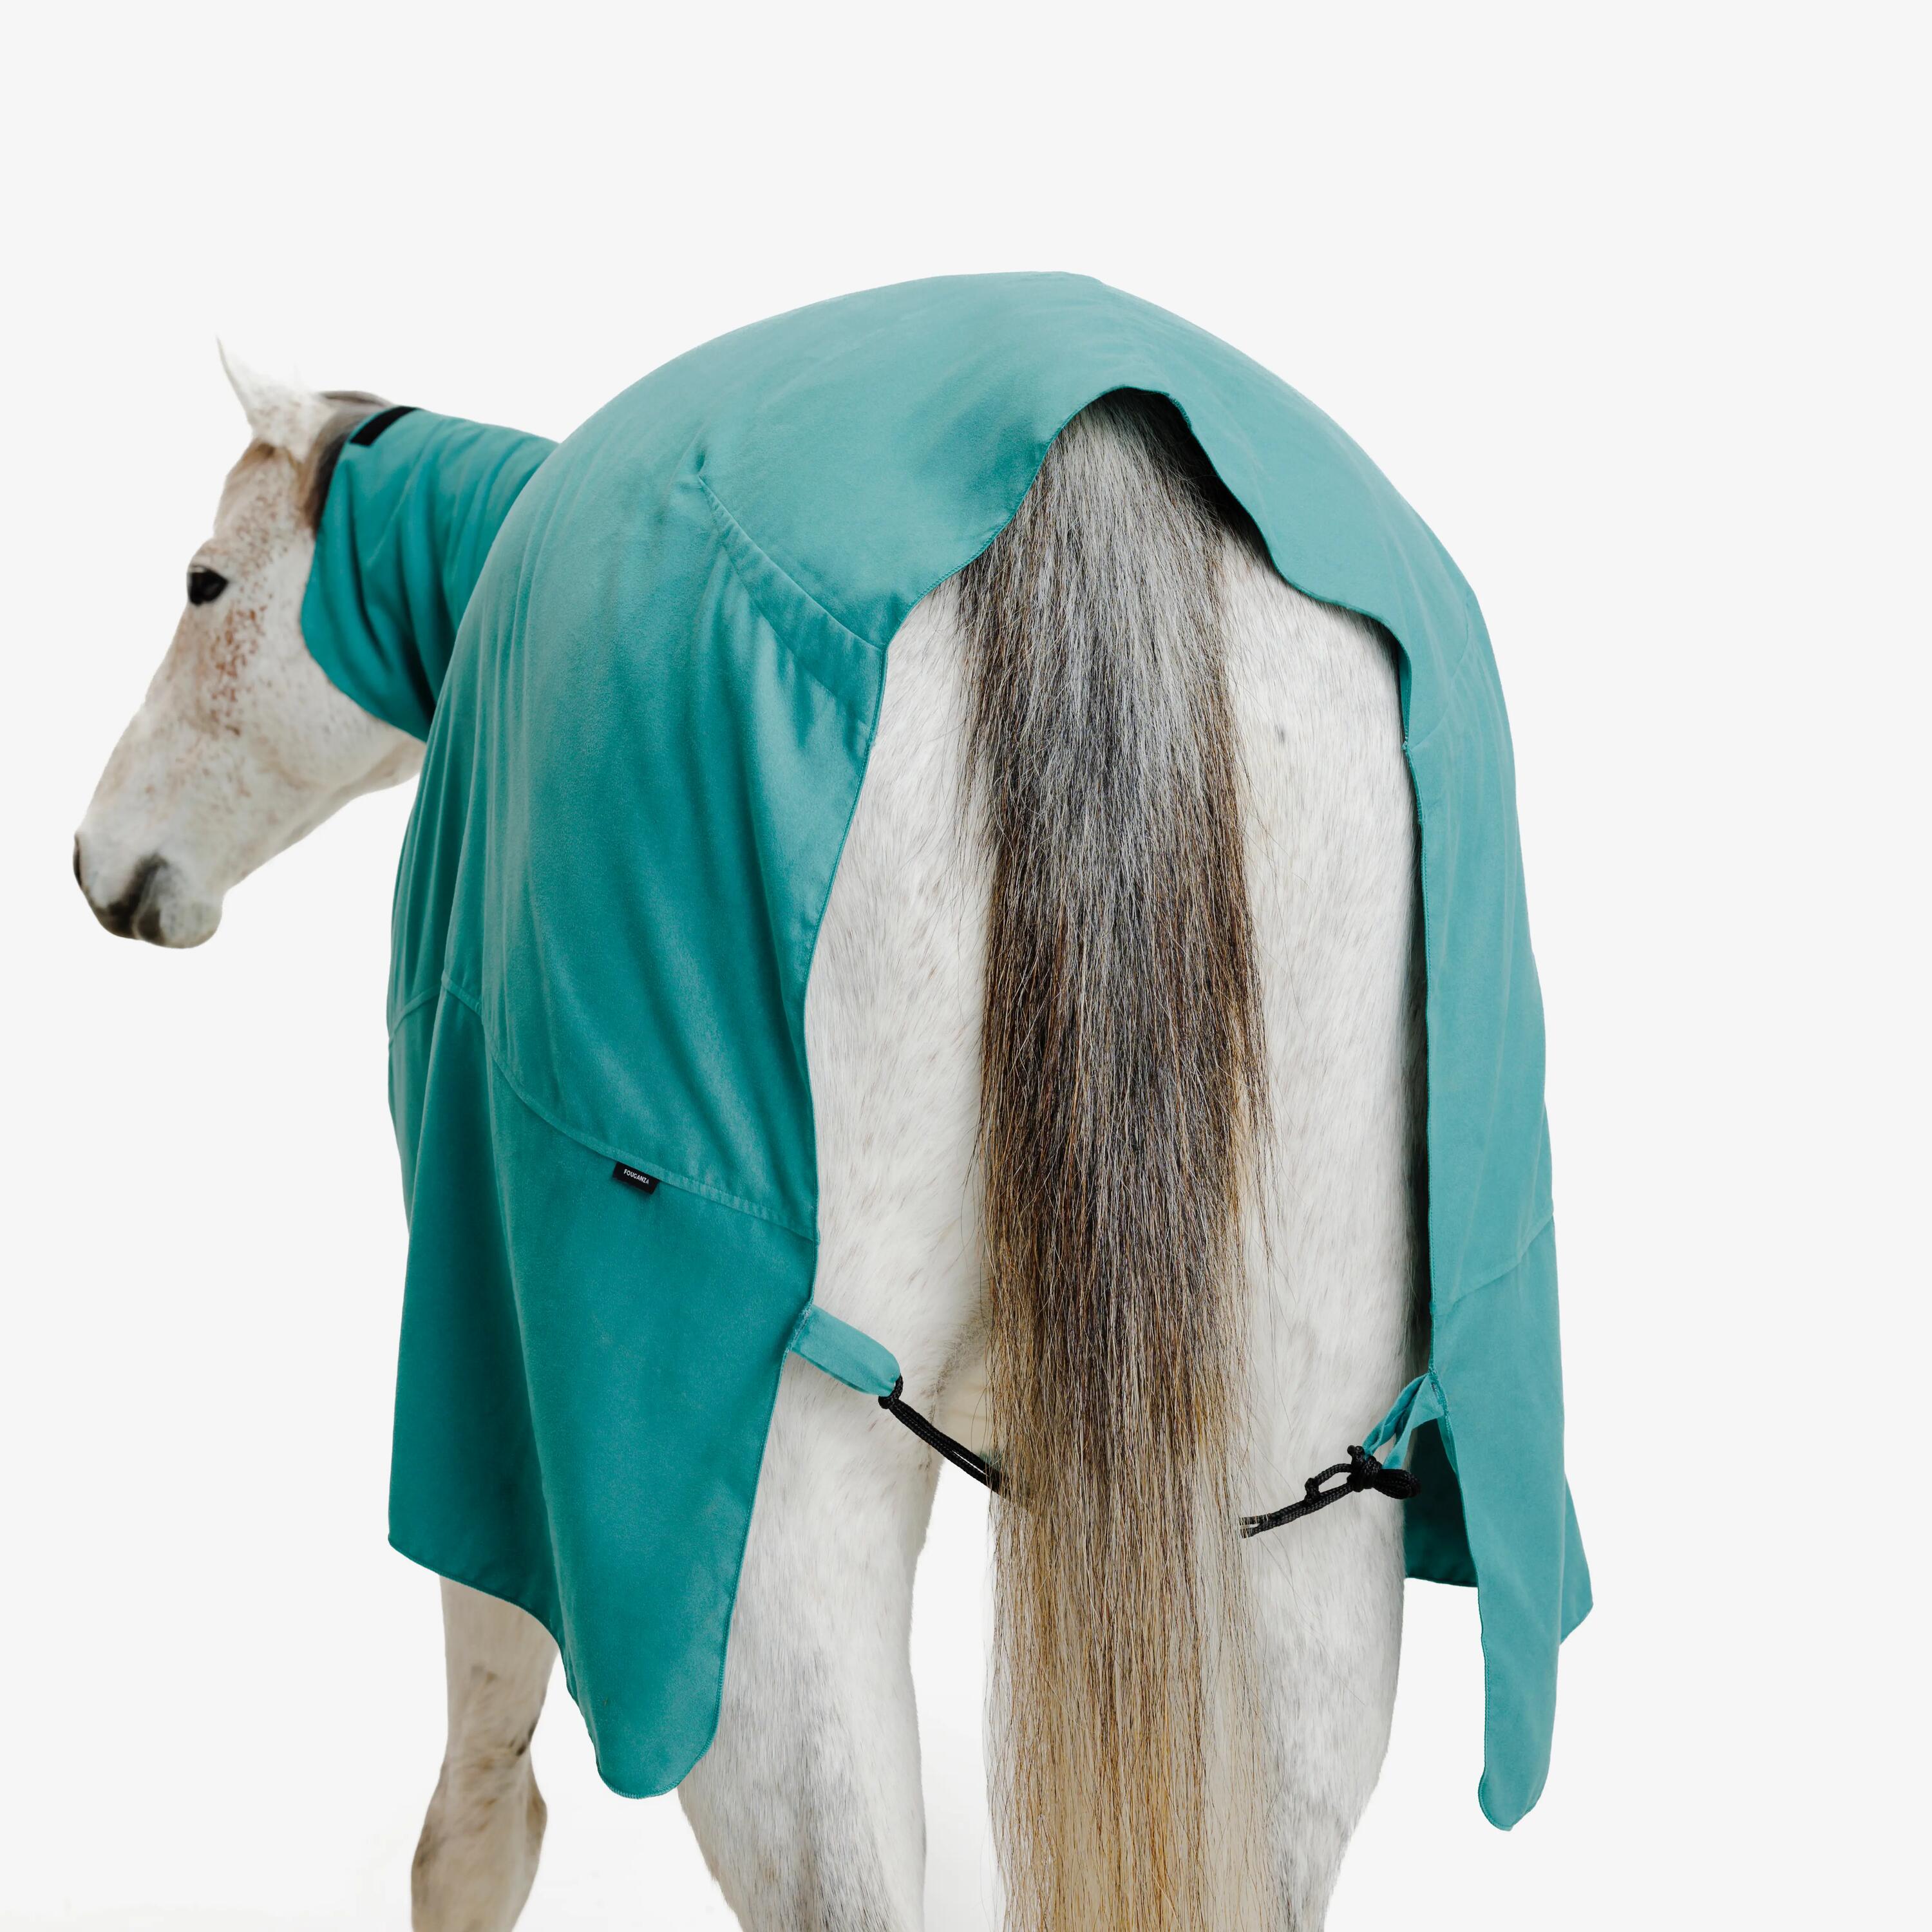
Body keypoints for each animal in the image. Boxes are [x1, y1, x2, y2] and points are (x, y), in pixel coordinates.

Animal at [75, 347, 1423, 1931]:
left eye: (205, 583)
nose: (101, 858)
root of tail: (1082, 454)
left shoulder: (494, 1381)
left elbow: (479, 1794)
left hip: (765, 1535)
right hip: (1295, 1498)